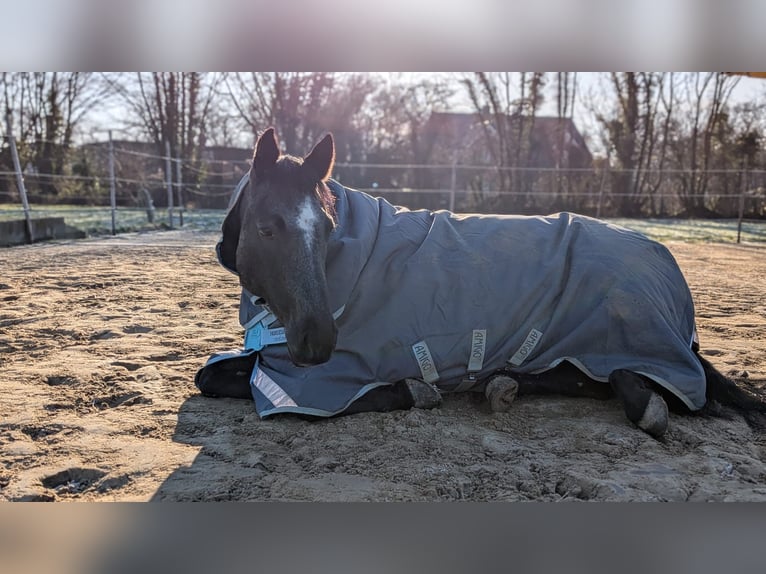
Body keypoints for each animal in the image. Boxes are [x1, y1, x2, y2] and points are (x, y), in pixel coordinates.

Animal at [203, 127, 766, 439]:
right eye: (267, 228)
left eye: (325, 227)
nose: (318, 341)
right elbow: (210, 376)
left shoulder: (318, 381)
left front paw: (413, 391)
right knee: (589, 378)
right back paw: (502, 384)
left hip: (639, 342)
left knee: (664, 388)